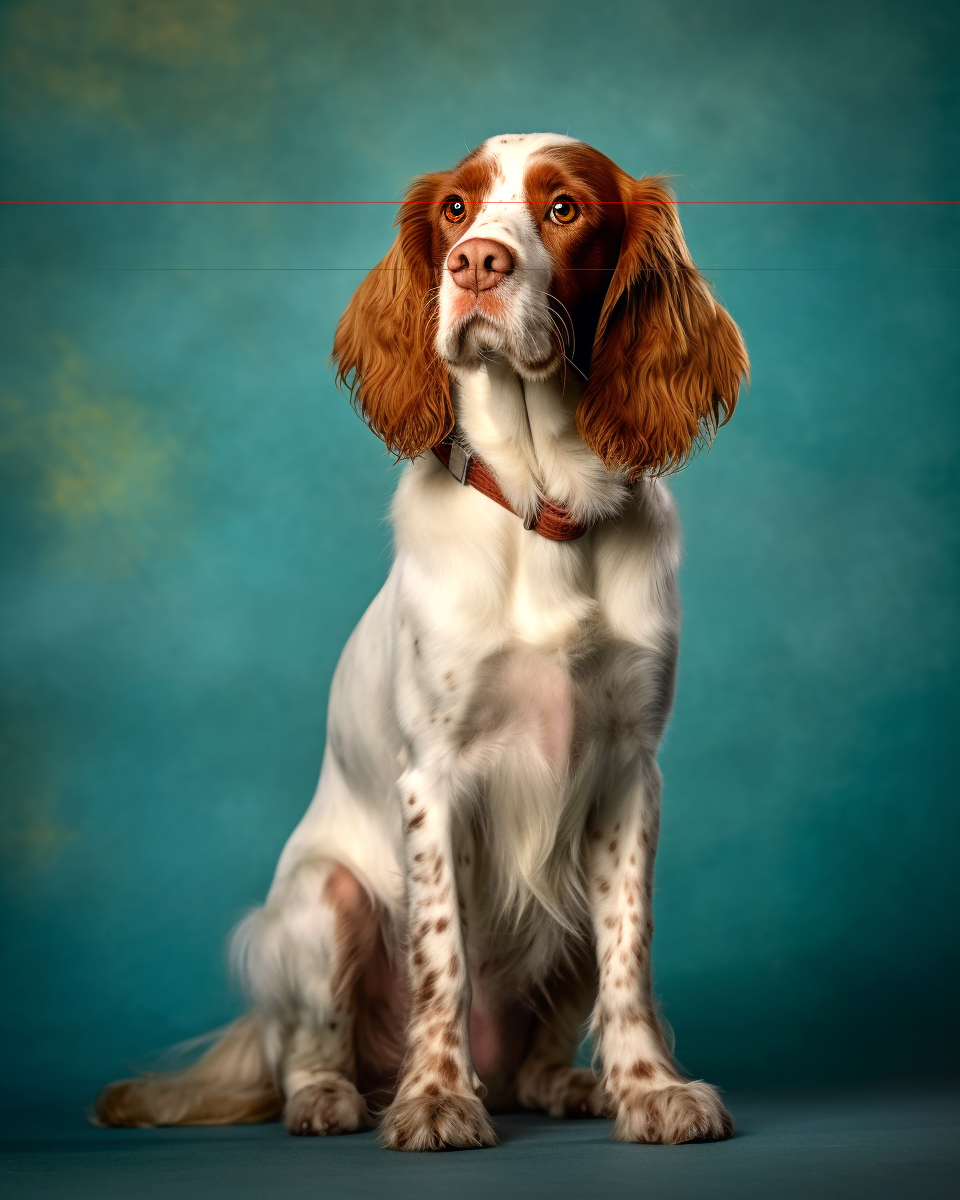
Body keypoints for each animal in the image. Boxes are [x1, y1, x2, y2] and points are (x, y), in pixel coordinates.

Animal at [101, 133, 753, 1152]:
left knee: (535, 1056)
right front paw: (437, 1099)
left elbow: (629, 957)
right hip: (319, 904)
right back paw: (332, 1098)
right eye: (455, 208)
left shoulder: (628, 772)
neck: (541, 507)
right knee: (308, 1046)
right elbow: (441, 958)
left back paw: (568, 1084)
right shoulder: (434, 777)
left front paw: (650, 1090)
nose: (476, 263)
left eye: (564, 208)